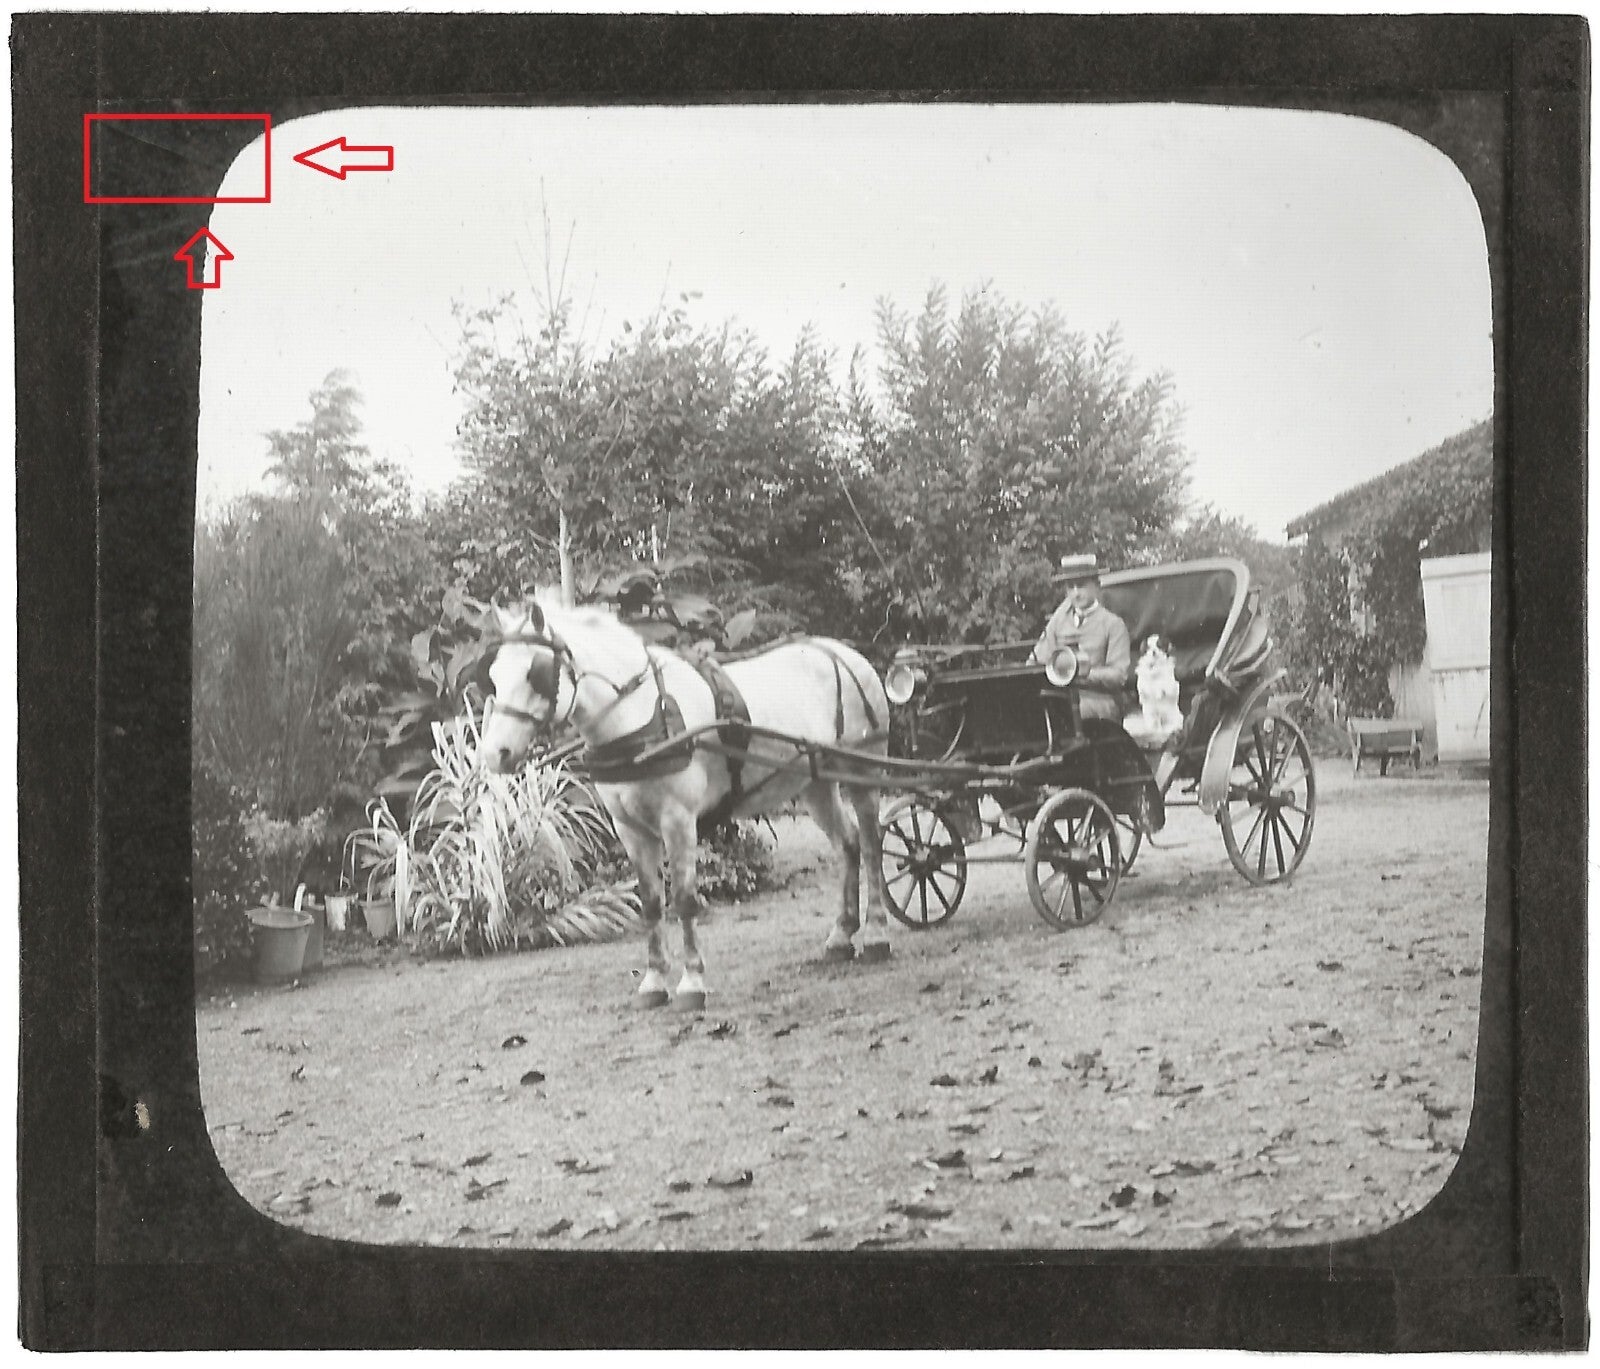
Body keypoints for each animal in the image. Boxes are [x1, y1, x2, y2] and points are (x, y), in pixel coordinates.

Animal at [479, 599, 893, 1010]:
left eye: (535, 673)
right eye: (495, 674)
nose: (495, 753)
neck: (642, 715)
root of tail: (843, 653)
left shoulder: (678, 820)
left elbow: (683, 898)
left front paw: (692, 982)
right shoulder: (630, 828)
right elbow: (650, 902)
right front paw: (653, 981)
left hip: (864, 772)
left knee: (872, 845)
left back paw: (876, 934)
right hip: (814, 784)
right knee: (849, 844)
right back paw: (842, 935)